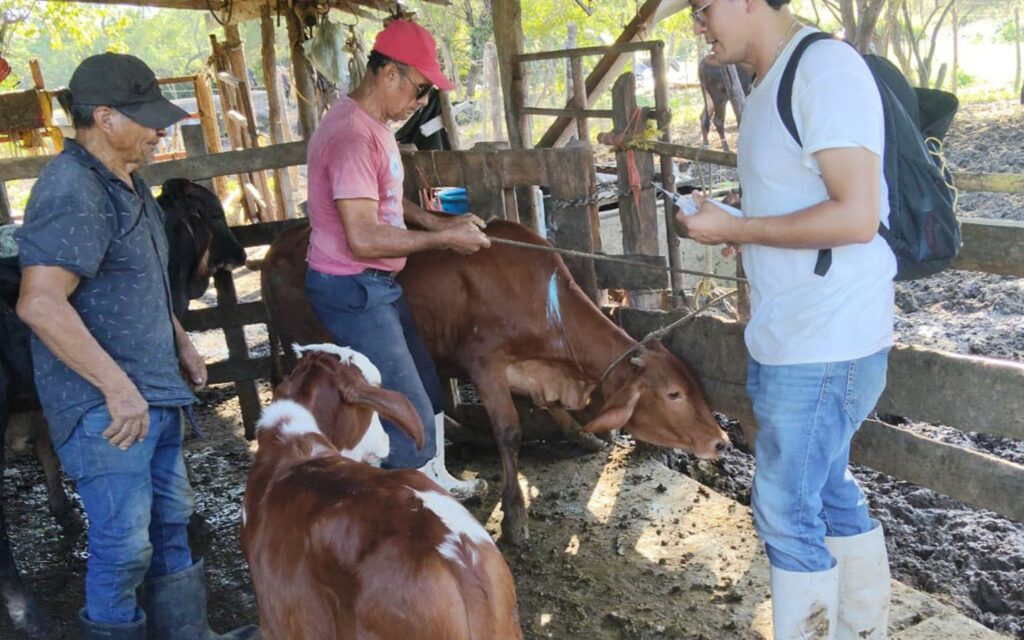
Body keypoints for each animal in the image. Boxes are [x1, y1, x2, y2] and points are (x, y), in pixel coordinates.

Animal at [260, 220, 730, 547]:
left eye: (694, 385)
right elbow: (509, 431)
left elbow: (552, 408)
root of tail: (276, 245)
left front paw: (584, 437)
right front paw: (515, 517)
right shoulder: (483, 362)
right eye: (673, 394)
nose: (721, 442)